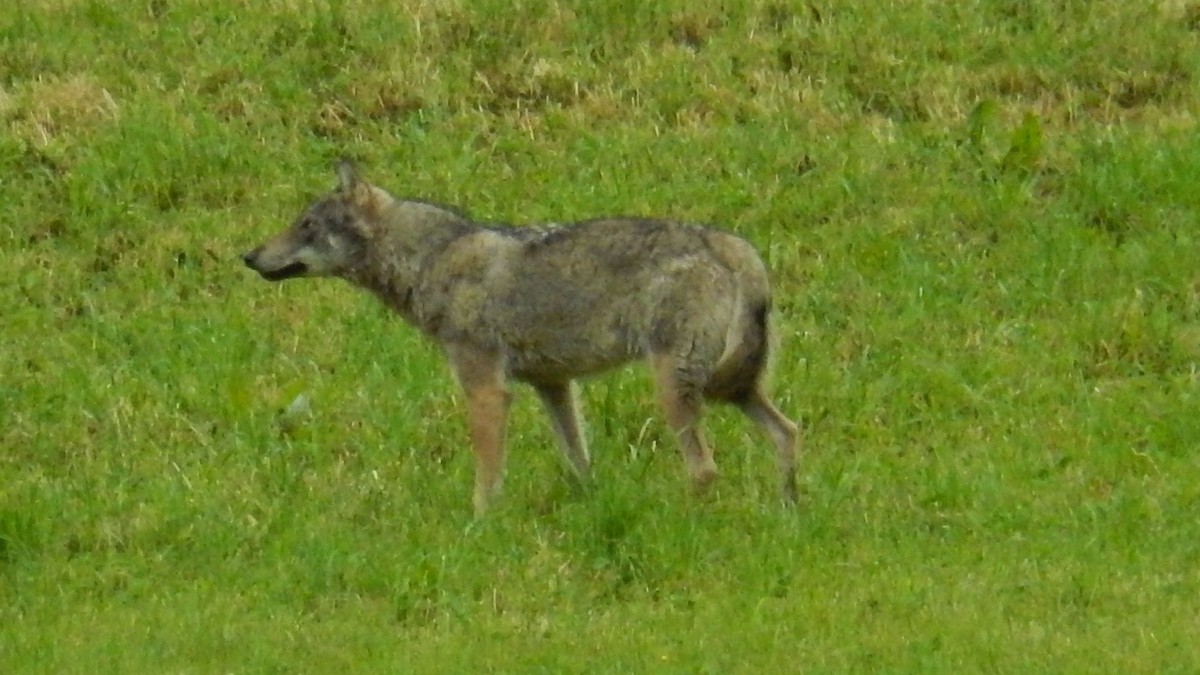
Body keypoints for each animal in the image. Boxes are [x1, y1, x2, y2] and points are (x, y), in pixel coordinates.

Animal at [242, 161, 800, 515]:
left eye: (307, 225)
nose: (248, 256)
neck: (431, 261)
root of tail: (731, 246)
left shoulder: (487, 388)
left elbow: (487, 473)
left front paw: (479, 525)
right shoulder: (552, 384)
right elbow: (578, 461)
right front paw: (589, 509)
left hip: (677, 389)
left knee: (705, 469)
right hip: (733, 390)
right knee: (787, 432)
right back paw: (789, 512)